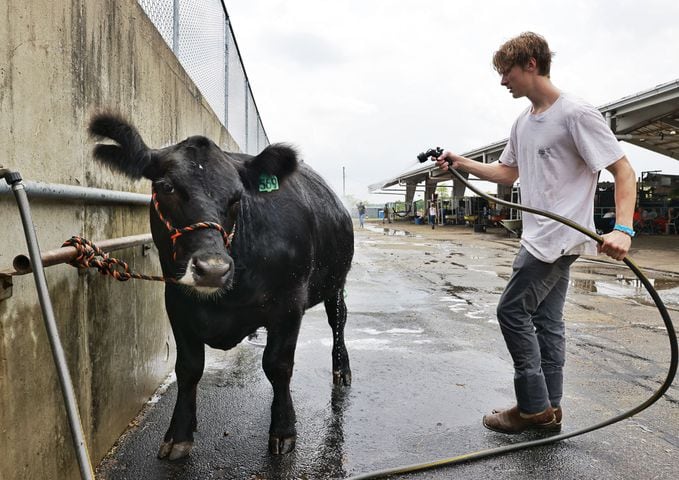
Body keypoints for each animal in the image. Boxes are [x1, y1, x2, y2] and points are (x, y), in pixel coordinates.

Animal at [89, 113, 356, 462]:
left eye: (237, 196)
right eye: (166, 187)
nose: (213, 269)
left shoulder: (290, 304)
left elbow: (278, 365)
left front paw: (284, 430)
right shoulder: (177, 301)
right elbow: (189, 369)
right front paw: (179, 434)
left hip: (337, 283)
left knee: (338, 321)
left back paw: (342, 370)